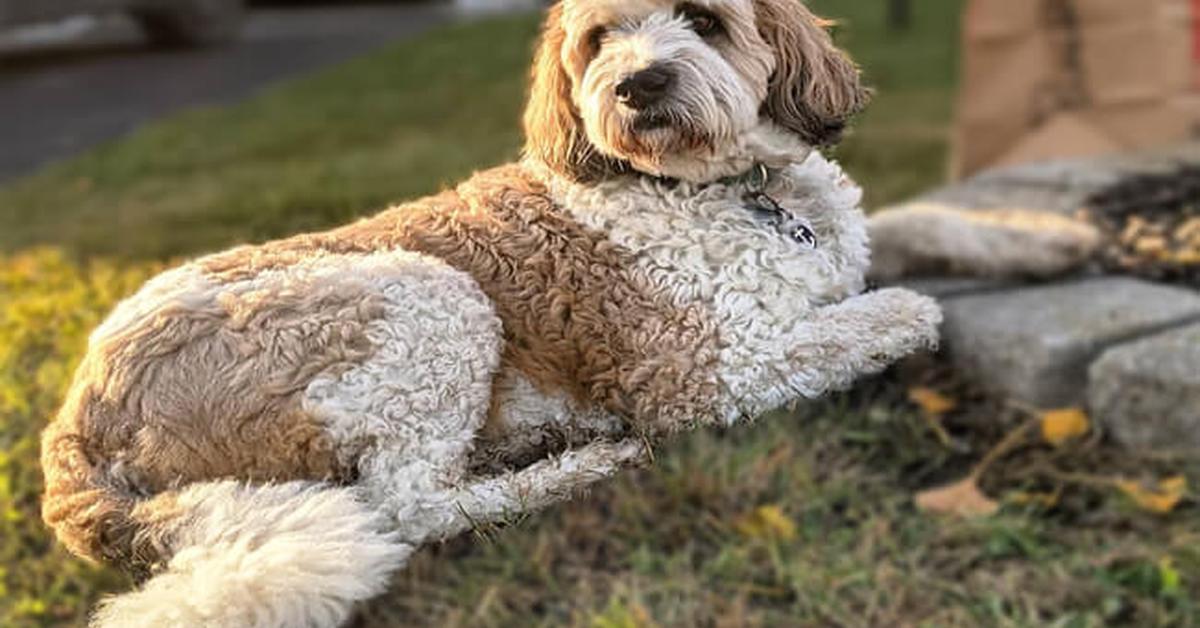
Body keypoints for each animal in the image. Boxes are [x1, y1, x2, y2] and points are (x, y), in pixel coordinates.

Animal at [42, 2, 940, 624]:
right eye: (599, 39)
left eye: (706, 20)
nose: (638, 83)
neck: (726, 187)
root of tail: (79, 421)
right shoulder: (701, 374)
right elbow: (893, 310)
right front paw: (908, 309)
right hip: (427, 298)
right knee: (410, 505)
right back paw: (579, 466)